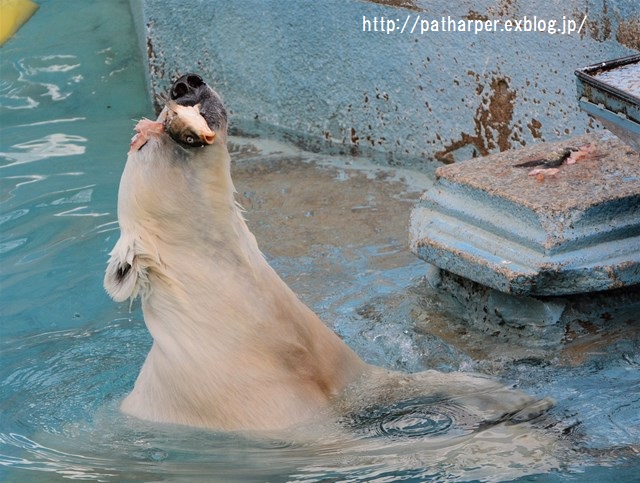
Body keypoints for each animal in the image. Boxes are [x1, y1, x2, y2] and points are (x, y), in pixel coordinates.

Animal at [104, 73, 552, 432]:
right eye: (139, 143)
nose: (185, 84)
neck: (242, 329)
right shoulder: (262, 410)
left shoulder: (328, 357)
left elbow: (385, 383)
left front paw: (515, 397)